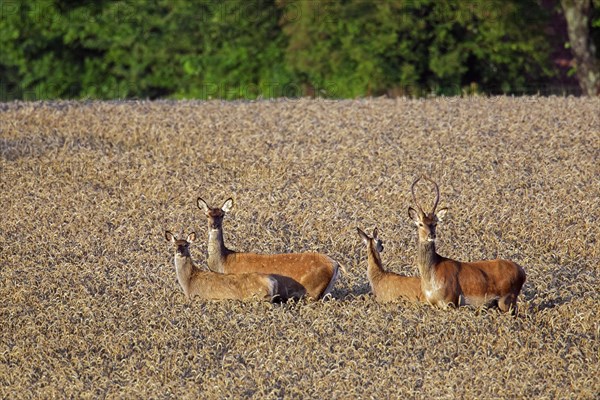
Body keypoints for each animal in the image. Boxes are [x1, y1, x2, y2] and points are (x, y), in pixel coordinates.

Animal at [199, 197, 344, 300]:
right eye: (207, 215)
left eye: (222, 215)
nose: (214, 225)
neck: (224, 262)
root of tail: (335, 264)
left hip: (313, 290)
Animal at [408, 177, 524, 312]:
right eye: (420, 224)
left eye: (435, 223)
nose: (431, 235)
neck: (432, 275)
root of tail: (522, 272)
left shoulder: (451, 301)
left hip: (506, 300)